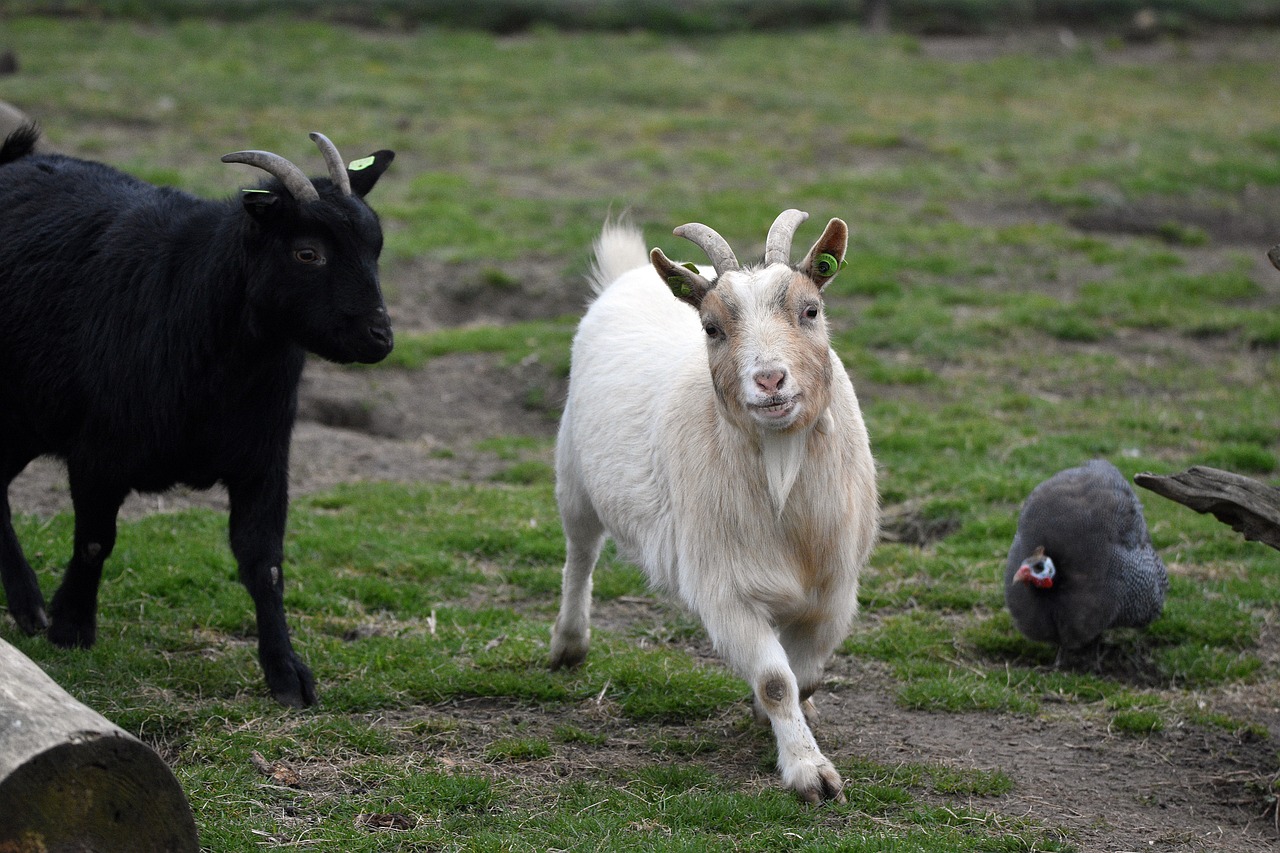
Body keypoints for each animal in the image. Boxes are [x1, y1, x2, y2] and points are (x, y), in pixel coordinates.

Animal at [0, 128, 394, 701]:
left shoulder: (262, 461)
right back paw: (30, 605)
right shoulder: (98, 451)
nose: (380, 338)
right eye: (307, 253)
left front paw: (287, 674)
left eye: (375, 247)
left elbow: (263, 564)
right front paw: (71, 625)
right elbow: (95, 542)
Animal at [550, 208, 880, 799]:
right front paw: (810, 772)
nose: (769, 379)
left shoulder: (835, 590)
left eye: (811, 310)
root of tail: (630, 274)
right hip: (574, 478)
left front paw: (785, 720)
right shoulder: (724, 588)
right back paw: (569, 645)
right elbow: (776, 681)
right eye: (711, 327)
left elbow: (805, 676)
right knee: (580, 555)